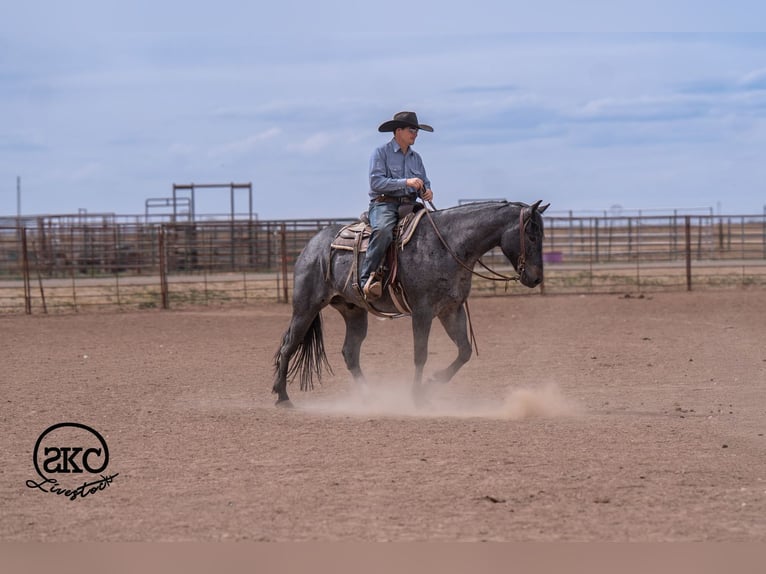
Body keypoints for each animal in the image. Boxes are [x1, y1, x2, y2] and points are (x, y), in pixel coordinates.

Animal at [272, 199, 549, 406]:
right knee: (288, 345)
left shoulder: (451, 310)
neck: (448, 244)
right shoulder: (422, 312)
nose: (536, 278)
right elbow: (420, 354)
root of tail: (312, 244)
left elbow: (464, 351)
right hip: (305, 307)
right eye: (532, 236)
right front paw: (417, 397)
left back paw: (370, 398)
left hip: (354, 311)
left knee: (350, 352)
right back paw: (282, 397)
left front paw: (433, 383)